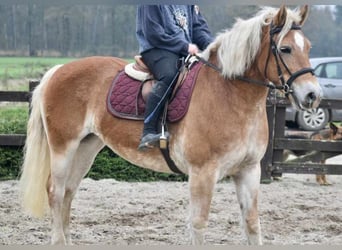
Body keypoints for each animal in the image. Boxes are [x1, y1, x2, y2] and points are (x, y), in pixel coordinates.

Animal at [20, 4, 322, 245]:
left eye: (308, 47)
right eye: (285, 48)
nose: (312, 95)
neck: (229, 95)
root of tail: (57, 70)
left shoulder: (249, 171)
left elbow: (252, 225)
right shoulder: (202, 174)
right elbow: (198, 225)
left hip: (86, 147)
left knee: (69, 191)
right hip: (63, 147)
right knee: (56, 191)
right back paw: (58, 241)